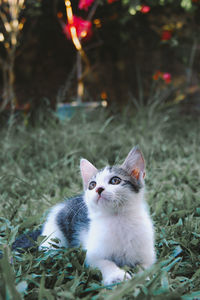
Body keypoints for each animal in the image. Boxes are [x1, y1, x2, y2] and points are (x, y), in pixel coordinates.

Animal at [38, 146, 155, 284]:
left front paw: (143, 277)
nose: (99, 189)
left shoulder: (147, 254)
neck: (118, 218)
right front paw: (116, 276)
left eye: (115, 180)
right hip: (53, 237)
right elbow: (104, 262)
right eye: (92, 185)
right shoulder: (92, 254)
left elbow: (145, 266)